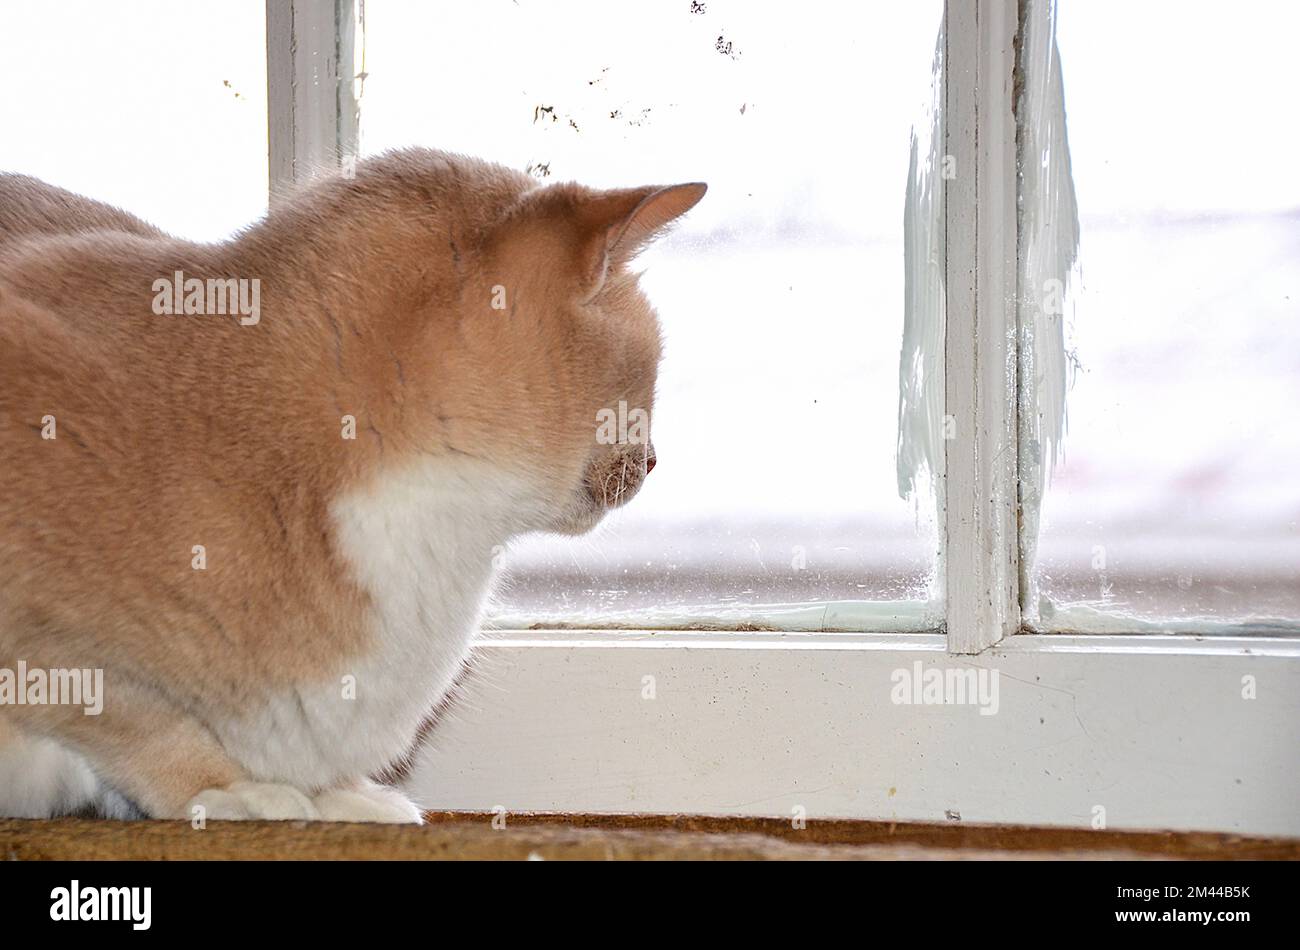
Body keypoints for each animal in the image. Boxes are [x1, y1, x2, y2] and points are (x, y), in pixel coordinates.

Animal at [0, 152, 707, 821]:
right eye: (645, 375)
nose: (654, 463)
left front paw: (342, 797)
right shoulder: (49, 645)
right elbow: (137, 720)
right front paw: (227, 791)